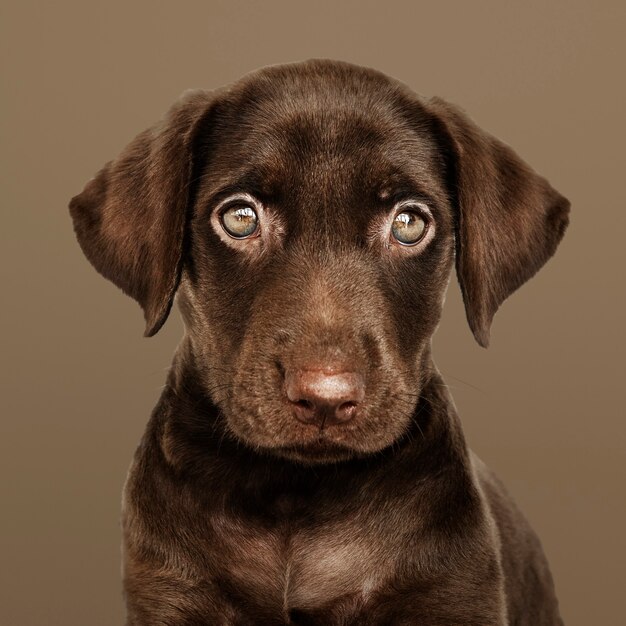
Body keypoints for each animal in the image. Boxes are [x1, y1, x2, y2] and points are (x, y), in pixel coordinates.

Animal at [70, 57, 568, 620]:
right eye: (239, 218)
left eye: (409, 223)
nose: (325, 397)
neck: (299, 493)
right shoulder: (171, 591)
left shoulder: (450, 593)